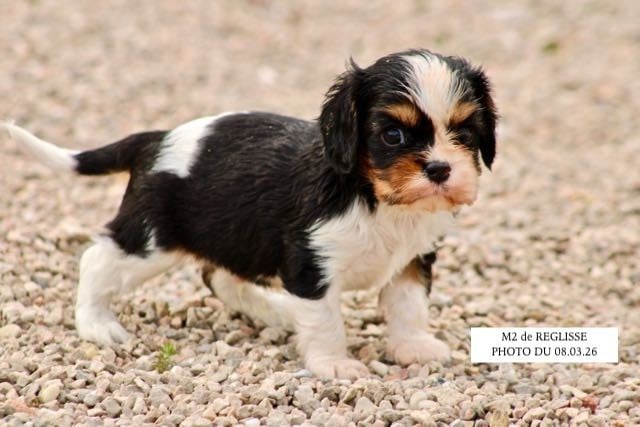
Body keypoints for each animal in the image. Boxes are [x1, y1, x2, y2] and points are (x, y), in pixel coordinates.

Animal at [3, 48, 497, 379]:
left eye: (465, 132)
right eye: (393, 135)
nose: (440, 169)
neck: (373, 195)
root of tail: (158, 137)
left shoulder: (414, 259)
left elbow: (408, 305)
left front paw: (413, 346)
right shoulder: (311, 264)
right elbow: (325, 322)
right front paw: (334, 364)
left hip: (233, 237)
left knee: (219, 277)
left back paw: (276, 311)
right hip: (151, 240)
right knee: (98, 259)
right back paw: (97, 324)